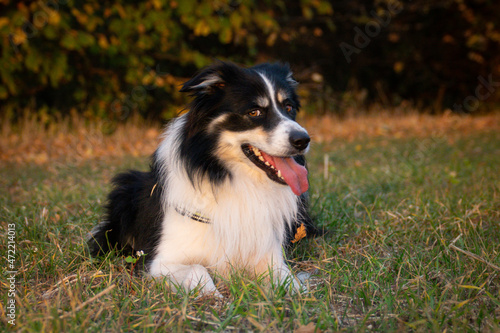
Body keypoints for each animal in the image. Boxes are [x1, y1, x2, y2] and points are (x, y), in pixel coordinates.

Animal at [88, 61, 314, 294]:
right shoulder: (160, 261)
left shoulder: (269, 255)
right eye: (254, 112)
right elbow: (198, 269)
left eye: (289, 108)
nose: (303, 140)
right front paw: (213, 295)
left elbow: (289, 279)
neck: (233, 178)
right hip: (125, 186)